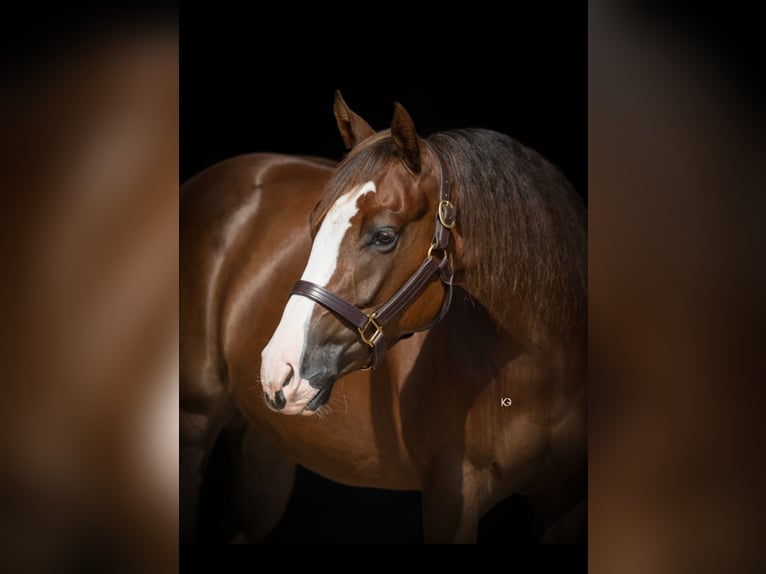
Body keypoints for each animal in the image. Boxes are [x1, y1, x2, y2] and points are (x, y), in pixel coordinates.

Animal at [180, 91, 587, 543]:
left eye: (384, 236)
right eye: (313, 223)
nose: (277, 368)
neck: (540, 372)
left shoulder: (567, 503)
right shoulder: (450, 497)